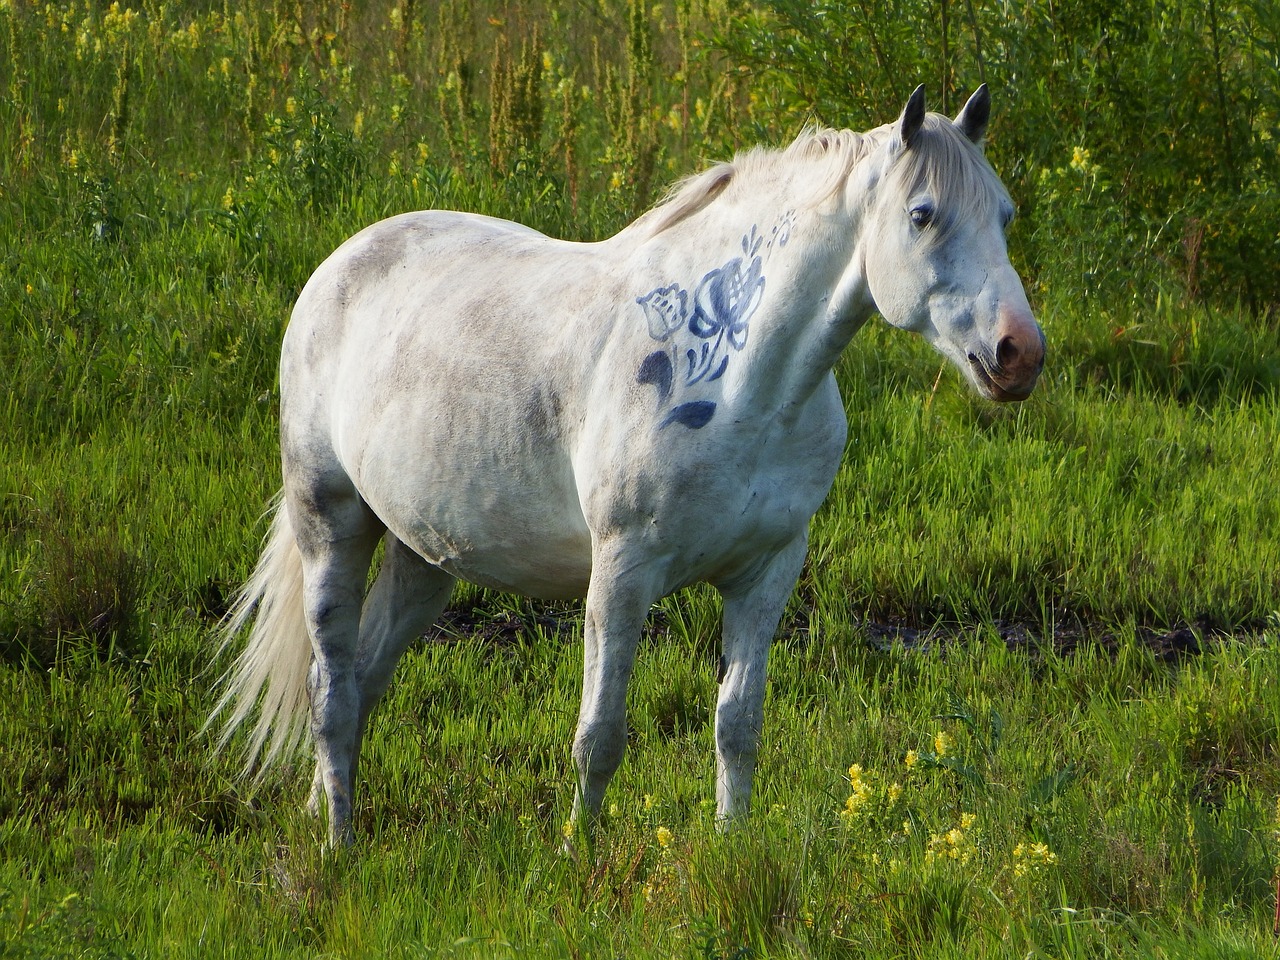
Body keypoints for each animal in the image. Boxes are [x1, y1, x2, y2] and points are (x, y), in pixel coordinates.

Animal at [215, 86, 1044, 844]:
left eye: (1005, 215)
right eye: (922, 214)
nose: (1020, 354)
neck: (746, 387)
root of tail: (343, 261)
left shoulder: (768, 571)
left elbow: (738, 725)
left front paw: (731, 849)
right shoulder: (622, 572)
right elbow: (600, 737)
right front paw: (576, 855)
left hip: (425, 557)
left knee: (364, 679)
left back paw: (325, 811)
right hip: (332, 523)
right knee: (331, 691)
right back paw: (338, 844)